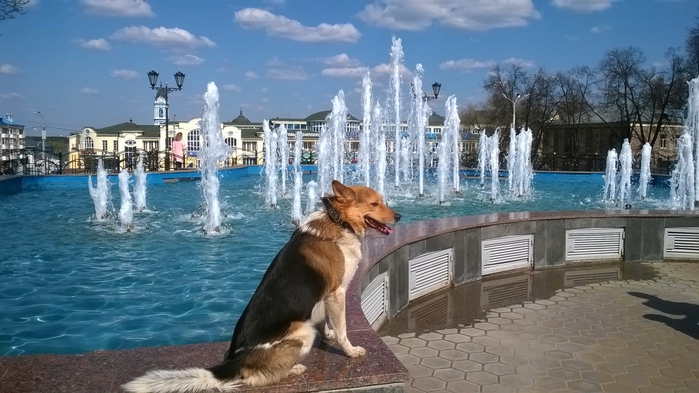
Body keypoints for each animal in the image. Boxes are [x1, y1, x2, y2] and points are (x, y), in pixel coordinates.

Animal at [123, 181, 402, 392]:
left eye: (382, 200)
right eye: (375, 204)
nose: (399, 216)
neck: (338, 221)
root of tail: (235, 362)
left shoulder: (324, 296)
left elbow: (326, 321)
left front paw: (329, 334)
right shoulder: (337, 293)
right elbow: (343, 329)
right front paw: (350, 351)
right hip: (302, 333)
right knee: (255, 378)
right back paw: (293, 368)